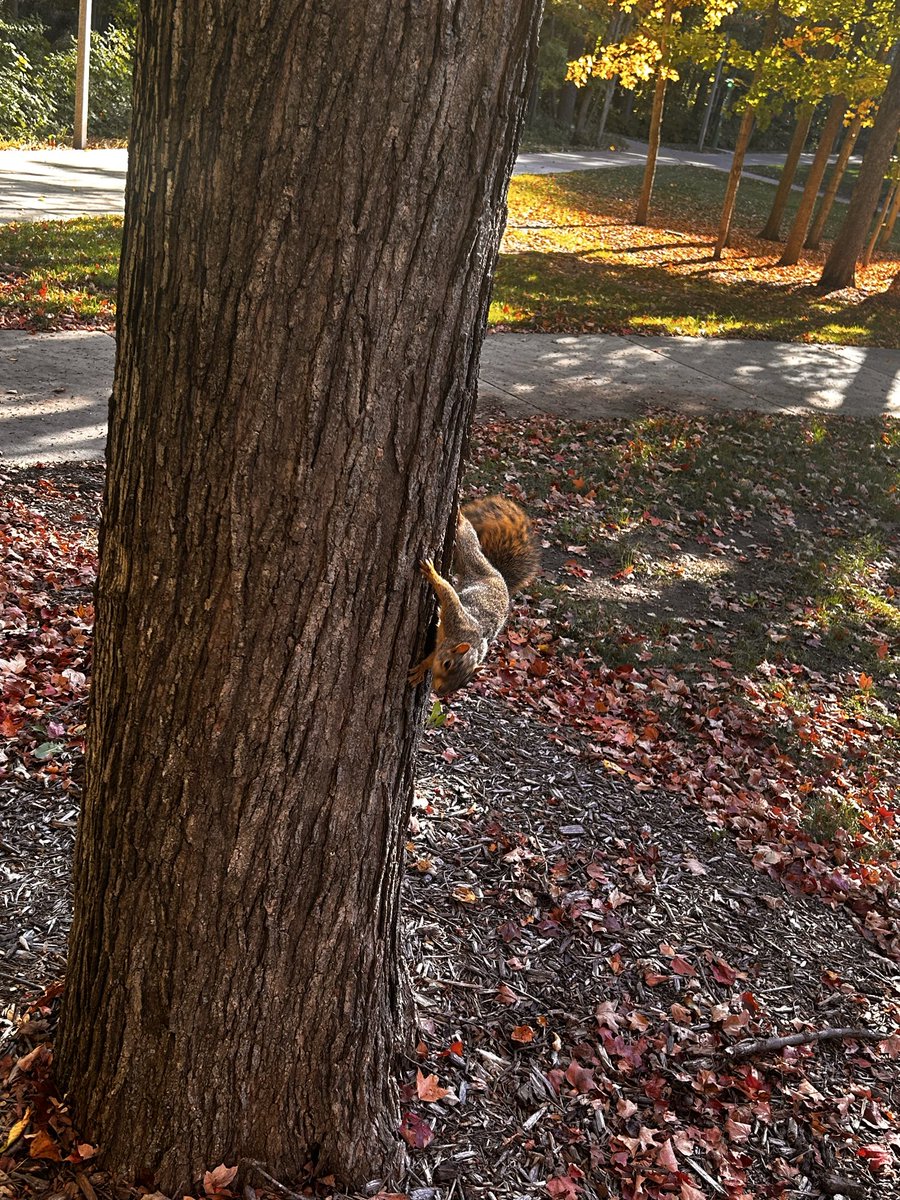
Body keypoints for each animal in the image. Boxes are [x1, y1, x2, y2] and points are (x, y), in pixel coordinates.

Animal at [408, 495, 540, 697]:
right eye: (448, 664)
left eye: (463, 682)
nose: (441, 691)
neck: (467, 639)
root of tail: (499, 576)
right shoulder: (457, 617)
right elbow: (447, 592)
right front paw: (432, 574)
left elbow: (432, 656)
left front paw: (421, 669)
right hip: (474, 564)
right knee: (468, 544)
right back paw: (461, 519)